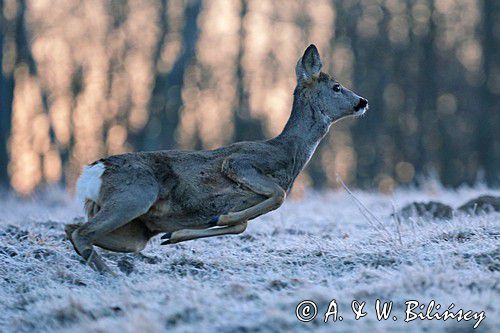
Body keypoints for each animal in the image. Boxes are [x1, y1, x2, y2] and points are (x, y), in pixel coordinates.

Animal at [65, 44, 368, 272]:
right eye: (337, 86)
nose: (363, 101)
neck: (289, 153)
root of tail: (91, 172)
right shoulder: (239, 162)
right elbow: (277, 196)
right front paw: (219, 217)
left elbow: (242, 225)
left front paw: (178, 233)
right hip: (136, 194)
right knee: (82, 232)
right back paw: (110, 274)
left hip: (133, 232)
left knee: (73, 228)